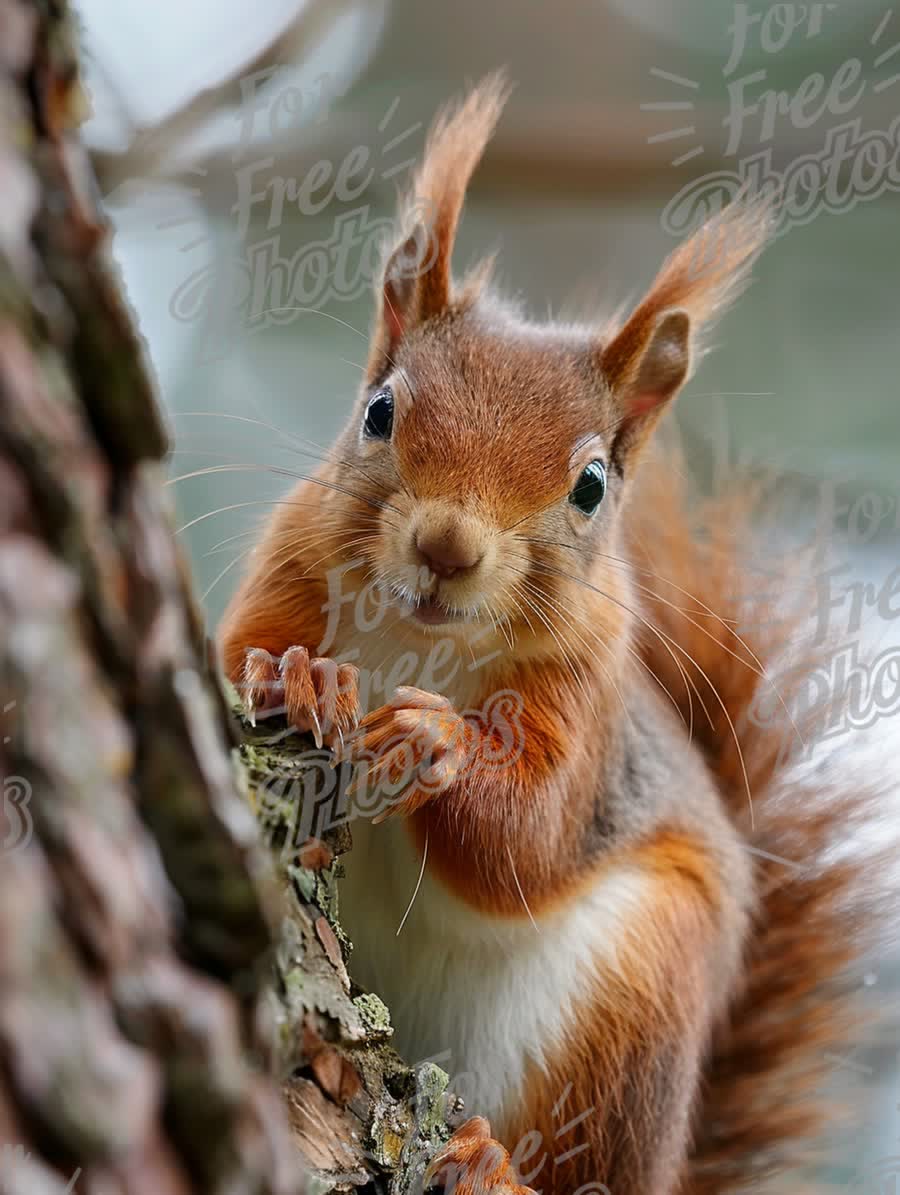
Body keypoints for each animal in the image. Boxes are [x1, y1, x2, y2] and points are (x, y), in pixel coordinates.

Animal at [221, 77, 879, 1195]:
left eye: (592, 485)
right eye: (380, 411)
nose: (447, 545)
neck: (424, 640)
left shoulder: (585, 696)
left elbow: (525, 840)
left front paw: (433, 742)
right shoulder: (291, 562)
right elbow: (226, 663)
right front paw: (298, 674)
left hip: (636, 998)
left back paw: (490, 1160)